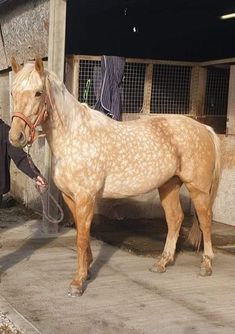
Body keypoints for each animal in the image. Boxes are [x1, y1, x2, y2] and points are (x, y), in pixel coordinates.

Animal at [9, 58, 222, 296]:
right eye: (12, 92)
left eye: (38, 93)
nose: (16, 137)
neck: (75, 136)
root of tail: (204, 127)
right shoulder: (70, 197)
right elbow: (81, 234)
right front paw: (87, 270)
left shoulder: (85, 198)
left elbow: (81, 238)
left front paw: (77, 283)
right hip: (169, 185)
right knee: (175, 219)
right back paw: (162, 263)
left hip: (198, 188)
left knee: (205, 220)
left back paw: (206, 265)